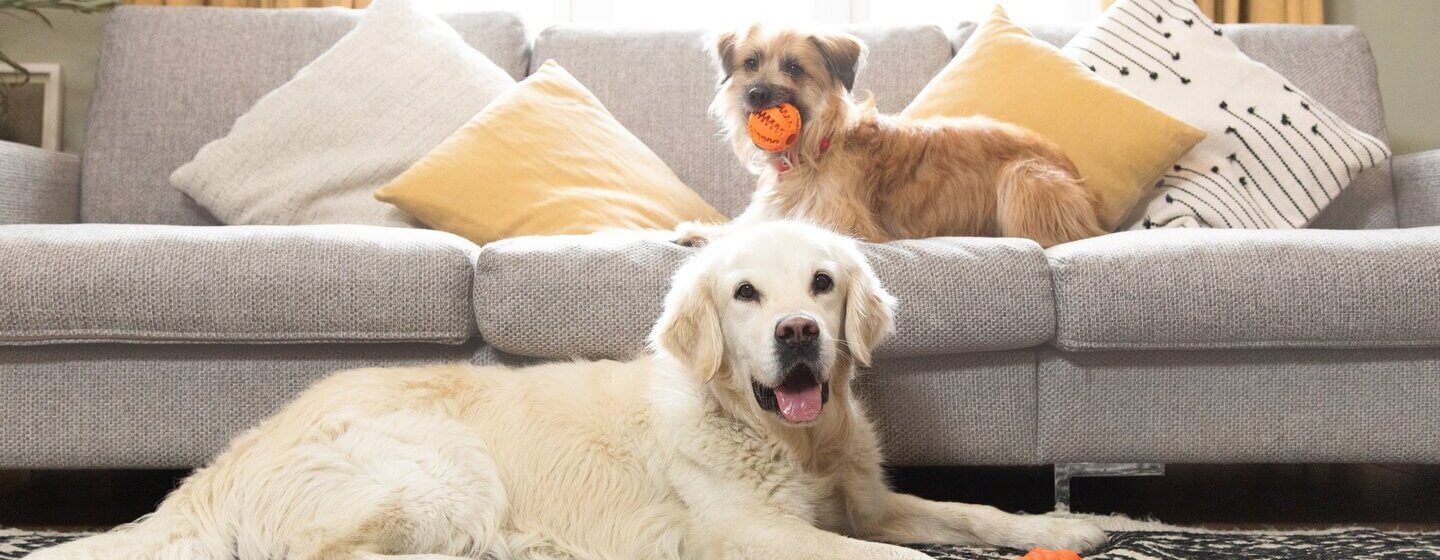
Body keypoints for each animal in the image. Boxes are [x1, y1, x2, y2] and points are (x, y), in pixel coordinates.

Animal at [679, 23, 1105, 246]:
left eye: (794, 68)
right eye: (750, 63)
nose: (755, 94)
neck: (816, 147)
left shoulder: (842, 221)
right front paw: (700, 230)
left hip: (1024, 176)